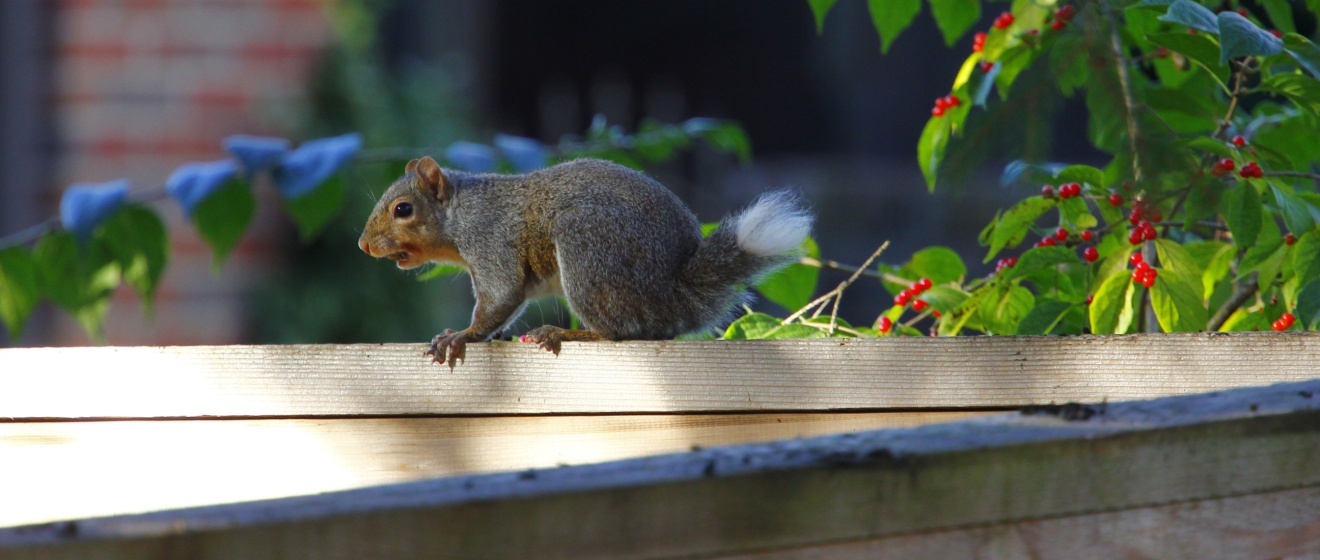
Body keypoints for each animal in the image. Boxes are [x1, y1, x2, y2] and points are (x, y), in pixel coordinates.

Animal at [358, 156, 813, 367]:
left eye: (403, 210)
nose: (363, 245)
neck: (461, 211)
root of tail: (672, 290)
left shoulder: (491, 241)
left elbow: (501, 295)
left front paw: (462, 336)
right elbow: (506, 306)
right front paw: (483, 335)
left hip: (588, 248)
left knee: (620, 332)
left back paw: (563, 332)